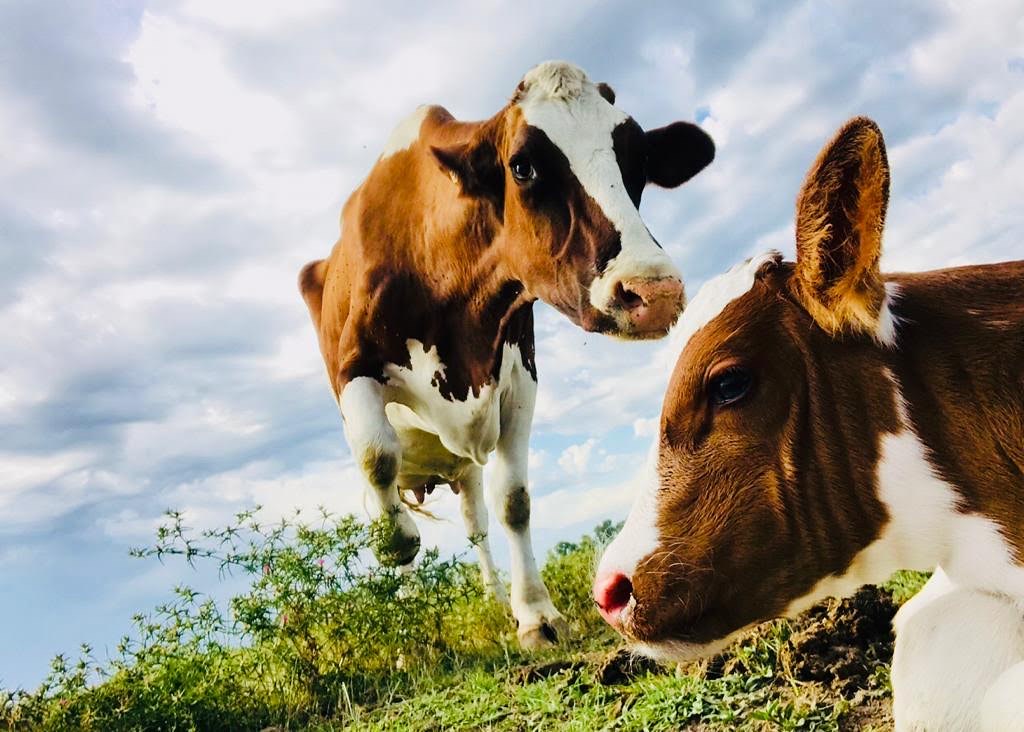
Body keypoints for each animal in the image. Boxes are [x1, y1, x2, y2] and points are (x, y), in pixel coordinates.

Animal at [300, 61, 715, 647]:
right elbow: (377, 460)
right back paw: (402, 625)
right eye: (523, 167)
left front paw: (535, 614)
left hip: (460, 468)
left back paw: (496, 599)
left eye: (637, 164)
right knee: (389, 508)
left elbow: (513, 501)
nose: (653, 292)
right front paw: (401, 546)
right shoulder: (353, 367)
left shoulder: (519, 378)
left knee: (475, 523)